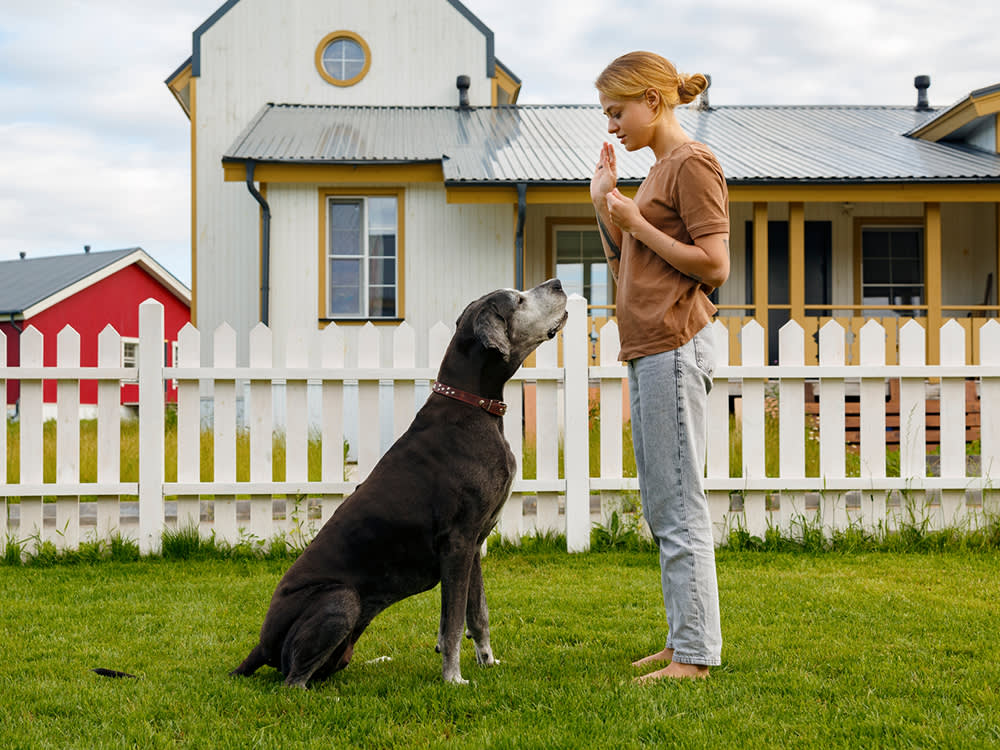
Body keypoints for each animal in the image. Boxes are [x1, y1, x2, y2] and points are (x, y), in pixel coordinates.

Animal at [229, 280, 568, 688]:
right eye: (518, 299)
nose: (559, 283)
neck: (472, 404)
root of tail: (260, 645)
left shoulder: (474, 545)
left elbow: (477, 614)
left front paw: (488, 662)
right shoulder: (457, 544)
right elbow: (452, 624)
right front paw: (453, 678)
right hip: (340, 598)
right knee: (292, 682)